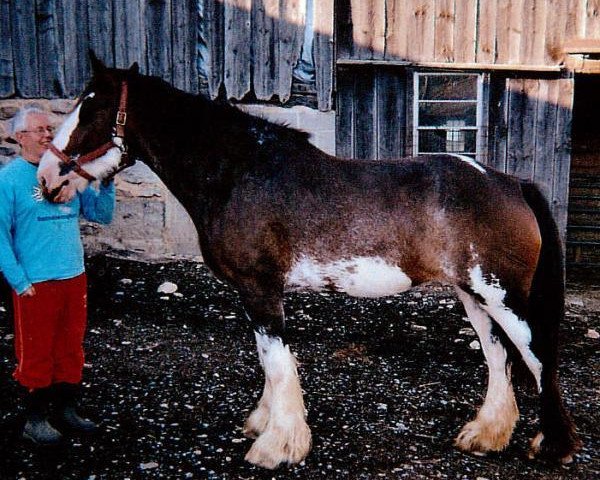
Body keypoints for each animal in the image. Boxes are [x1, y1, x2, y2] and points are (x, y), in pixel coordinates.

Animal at [37, 53, 580, 468]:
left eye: (92, 108)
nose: (46, 178)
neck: (239, 172)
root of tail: (511, 183)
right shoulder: (254, 293)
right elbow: (267, 361)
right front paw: (264, 425)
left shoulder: (260, 288)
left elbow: (277, 363)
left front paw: (277, 446)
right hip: (474, 295)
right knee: (498, 358)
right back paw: (485, 435)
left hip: (502, 295)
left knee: (536, 356)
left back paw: (553, 447)